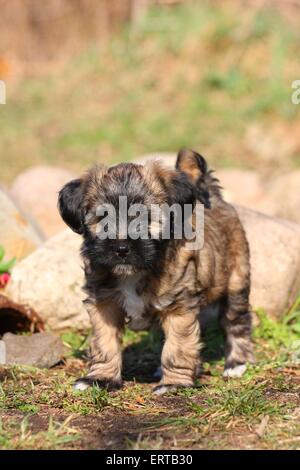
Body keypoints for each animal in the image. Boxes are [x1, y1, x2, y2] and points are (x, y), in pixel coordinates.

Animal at [57, 150, 252, 392]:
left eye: (145, 218)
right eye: (102, 218)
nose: (122, 248)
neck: (135, 273)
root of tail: (214, 198)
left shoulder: (179, 307)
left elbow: (178, 346)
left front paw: (174, 383)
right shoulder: (104, 304)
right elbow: (105, 342)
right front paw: (100, 378)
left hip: (236, 280)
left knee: (236, 322)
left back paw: (237, 364)